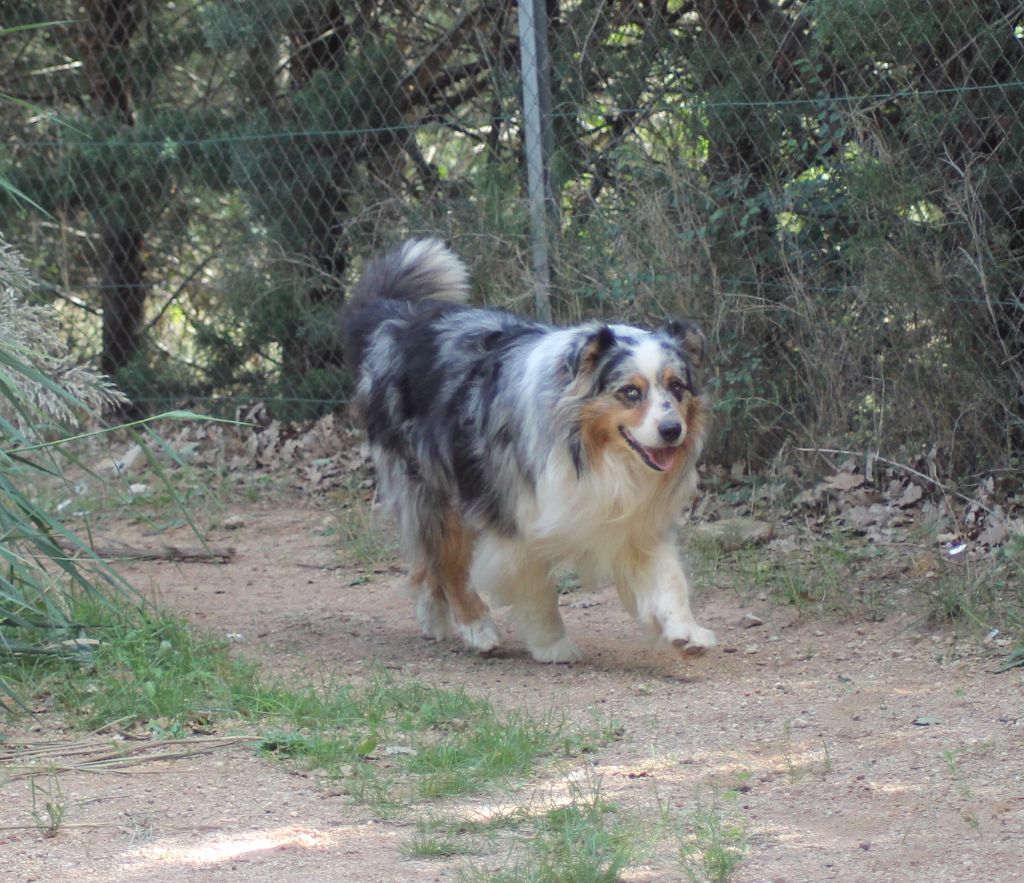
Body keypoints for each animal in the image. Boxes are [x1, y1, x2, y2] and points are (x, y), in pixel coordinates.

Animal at [339, 238, 716, 659]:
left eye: (677, 387)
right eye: (630, 392)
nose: (672, 430)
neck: (591, 452)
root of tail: (396, 321)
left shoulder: (632, 521)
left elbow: (667, 575)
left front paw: (685, 630)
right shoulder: (516, 517)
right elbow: (535, 590)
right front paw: (553, 644)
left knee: (425, 560)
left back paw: (433, 618)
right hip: (437, 484)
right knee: (448, 561)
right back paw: (476, 627)